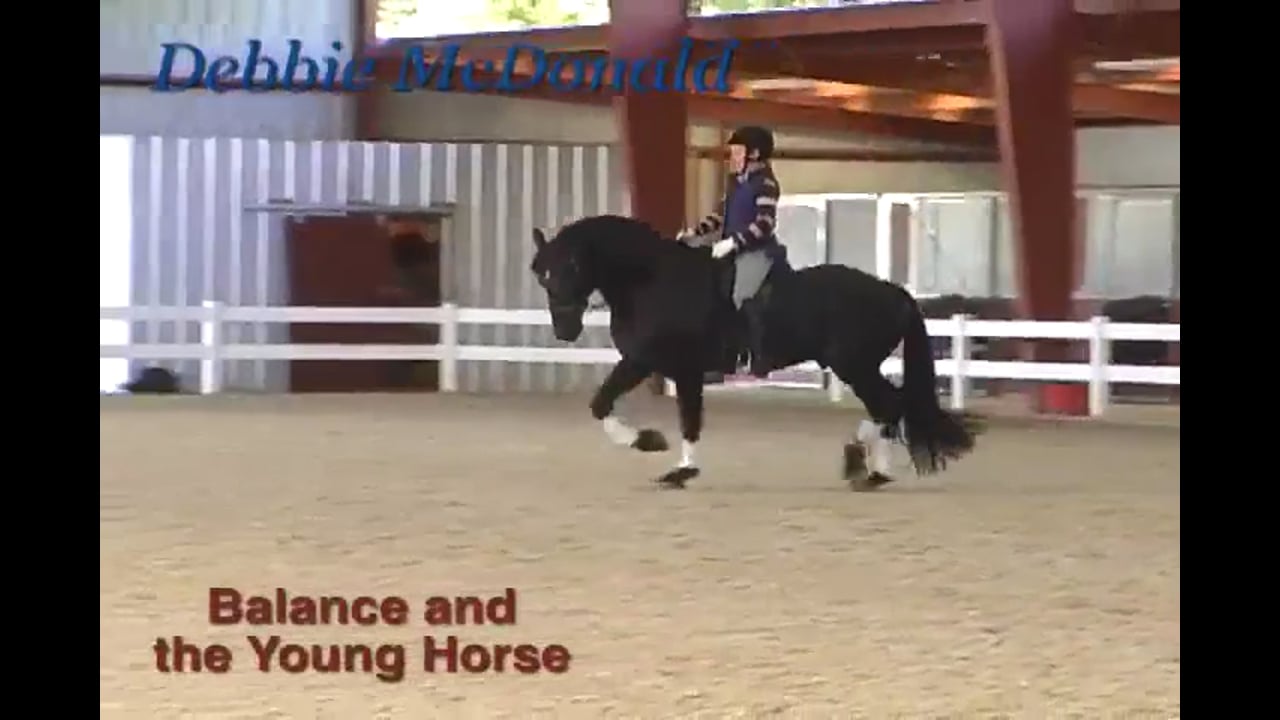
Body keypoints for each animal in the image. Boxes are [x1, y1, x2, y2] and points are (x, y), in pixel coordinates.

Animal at [529, 214, 979, 490]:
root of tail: (894, 292)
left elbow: (671, 417)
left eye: (571, 267)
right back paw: (868, 469)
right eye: (542, 275)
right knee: (891, 406)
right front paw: (661, 451)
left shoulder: (666, 366)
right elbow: (607, 405)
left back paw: (864, 468)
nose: (565, 330)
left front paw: (665, 456)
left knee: (890, 406)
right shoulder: (655, 366)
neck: (651, 280)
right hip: (857, 366)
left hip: (854, 365)